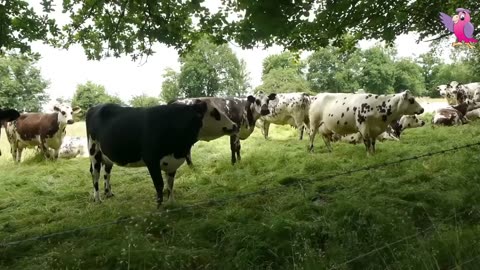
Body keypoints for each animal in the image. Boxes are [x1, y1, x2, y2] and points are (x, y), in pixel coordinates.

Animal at [86, 101, 238, 207]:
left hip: (107, 157)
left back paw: (108, 193)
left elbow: (170, 184)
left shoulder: (171, 163)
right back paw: (97, 199)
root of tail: (96, 106)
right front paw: (159, 207)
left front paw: (172, 203)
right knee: (95, 174)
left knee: (106, 173)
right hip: (94, 151)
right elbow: (159, 184)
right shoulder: (151, 160)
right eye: (214, 113)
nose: (235, 125)